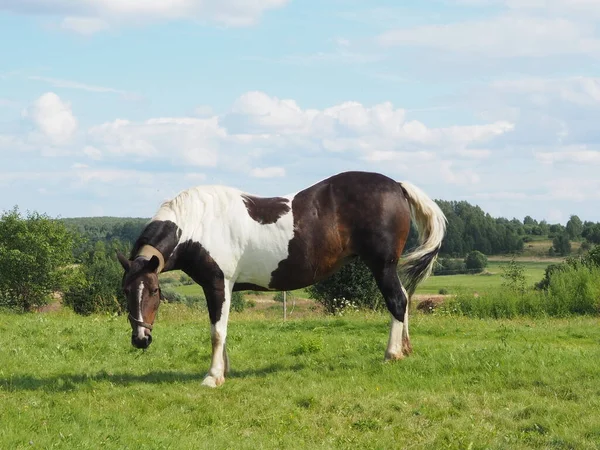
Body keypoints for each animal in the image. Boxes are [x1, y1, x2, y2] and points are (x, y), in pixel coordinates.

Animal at [117, 171, 446, 388]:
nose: (140, 339)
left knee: (397, 301)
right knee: (404, 299)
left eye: (155, 291)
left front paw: (212, 376)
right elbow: (222, 329)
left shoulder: (217, 284)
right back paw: (405, 348)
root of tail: (397, 186)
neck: (198, 223)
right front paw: (223, 370)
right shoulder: (224, 288)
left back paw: (392, 353)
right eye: (126, 291)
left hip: (382, 266)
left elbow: (216, 332)